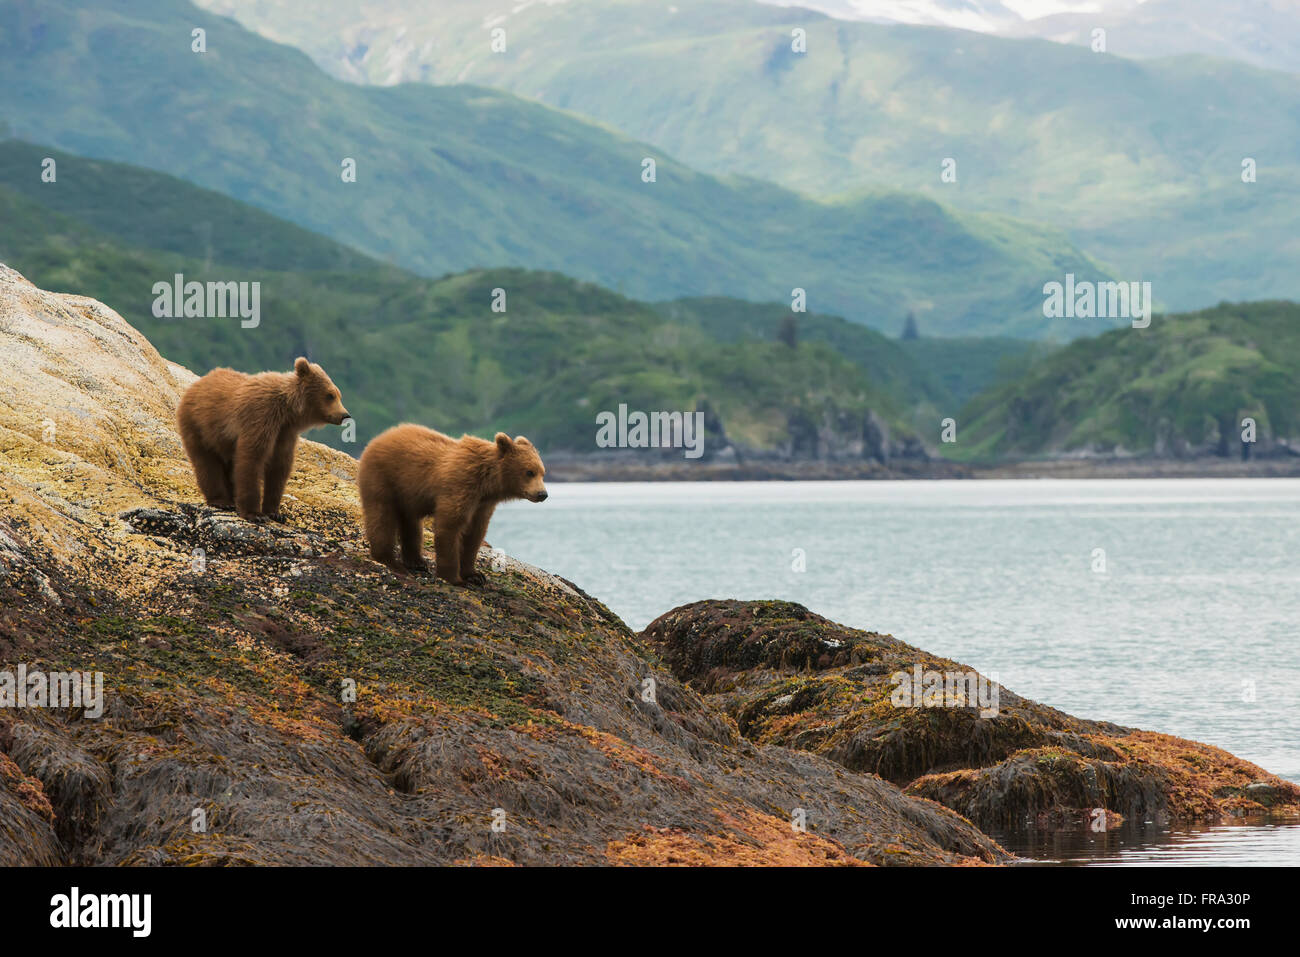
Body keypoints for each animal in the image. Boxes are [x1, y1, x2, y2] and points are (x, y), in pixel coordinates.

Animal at [176, 357, 349, 522]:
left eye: (339, 394)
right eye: (330, 395)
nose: (344, 415)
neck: (287, 410)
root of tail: (197, 383)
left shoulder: (284, 432)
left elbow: (279, 466)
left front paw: (275, 513)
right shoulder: (261, 416)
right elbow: (252, 458)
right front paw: (255, 514)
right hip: (199, 426)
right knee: (207, 463)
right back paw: (221, 501)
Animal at [357, 424, 547, 584]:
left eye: (542, 472)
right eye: (529, 472)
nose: (543, 494)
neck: (487, 482)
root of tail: (379, 437)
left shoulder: (482, 504)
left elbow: (475, 534)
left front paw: (475, 575)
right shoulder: (460, 486)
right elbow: (450, 526)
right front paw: (454, 578)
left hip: (407, 494)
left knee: (411, 523)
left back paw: (417, 562)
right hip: (384, 478)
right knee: (381, 517)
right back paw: (390, 561)